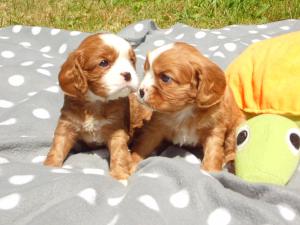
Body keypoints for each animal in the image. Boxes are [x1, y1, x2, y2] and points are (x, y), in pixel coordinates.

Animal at [43, 33, 138, 179]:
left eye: (132, 61)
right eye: (103, 63)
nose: (128, 74)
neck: (95, 101)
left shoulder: (117, 128)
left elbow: (119, 153)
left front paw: (119, 177)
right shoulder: (67, 123)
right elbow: (58, 145)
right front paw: (50, 167)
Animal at [130, 41, 245, 174]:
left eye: (165, 78)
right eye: (145, 72)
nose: (140, 91)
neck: (184, 110)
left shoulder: (214, 130)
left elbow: (213, 154)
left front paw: (210, 173)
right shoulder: (155, 128)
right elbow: (143, 145)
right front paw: (131, 165)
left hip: (236, 125)